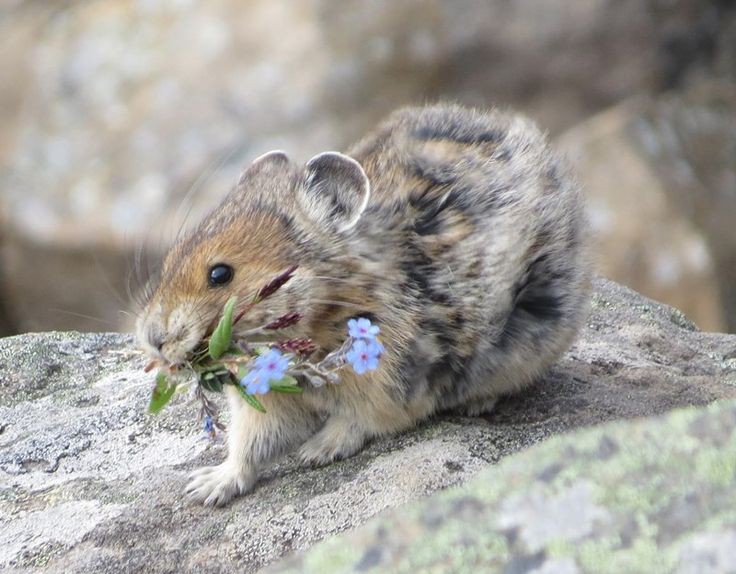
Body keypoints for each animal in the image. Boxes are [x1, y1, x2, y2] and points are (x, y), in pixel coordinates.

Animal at [136, 104, 591, 506]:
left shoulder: (389, 385)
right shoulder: (269, 399)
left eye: (220, 274)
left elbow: (359, 422)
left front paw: (318, 450)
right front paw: (206, 486)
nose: (153, 338)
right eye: (171, 258)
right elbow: (252, 444)